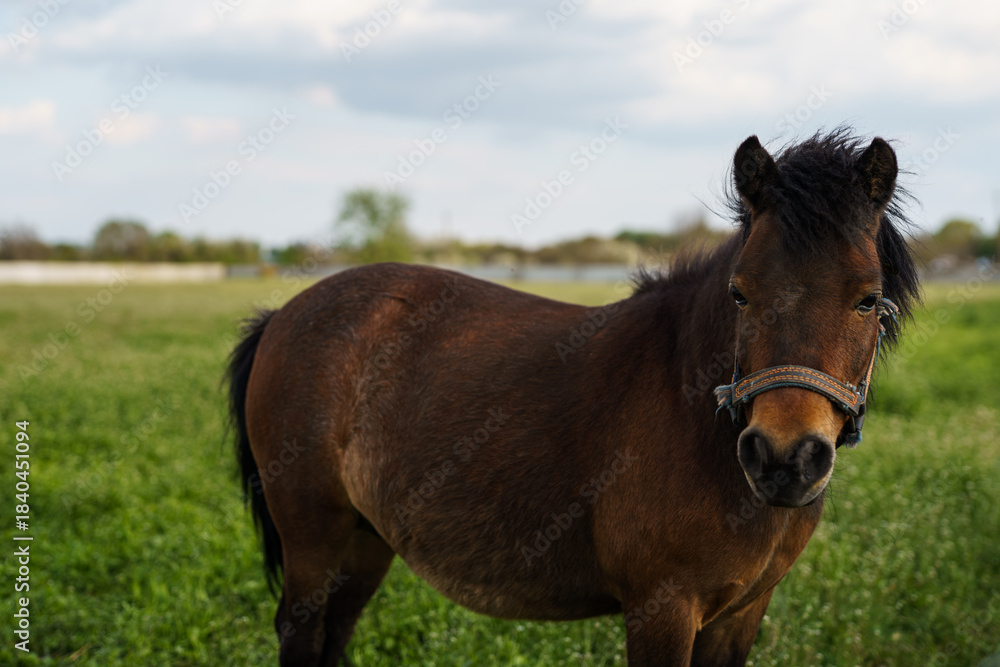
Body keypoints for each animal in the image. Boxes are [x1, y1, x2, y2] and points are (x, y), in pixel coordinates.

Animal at [226, 128, 919, 666]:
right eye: (740, 293)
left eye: (867, 299)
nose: (782, 459)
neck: (692, 415)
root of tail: (283, 314)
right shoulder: (661, 611)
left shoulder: (739, 616)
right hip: (313, 540)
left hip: (366, 540)